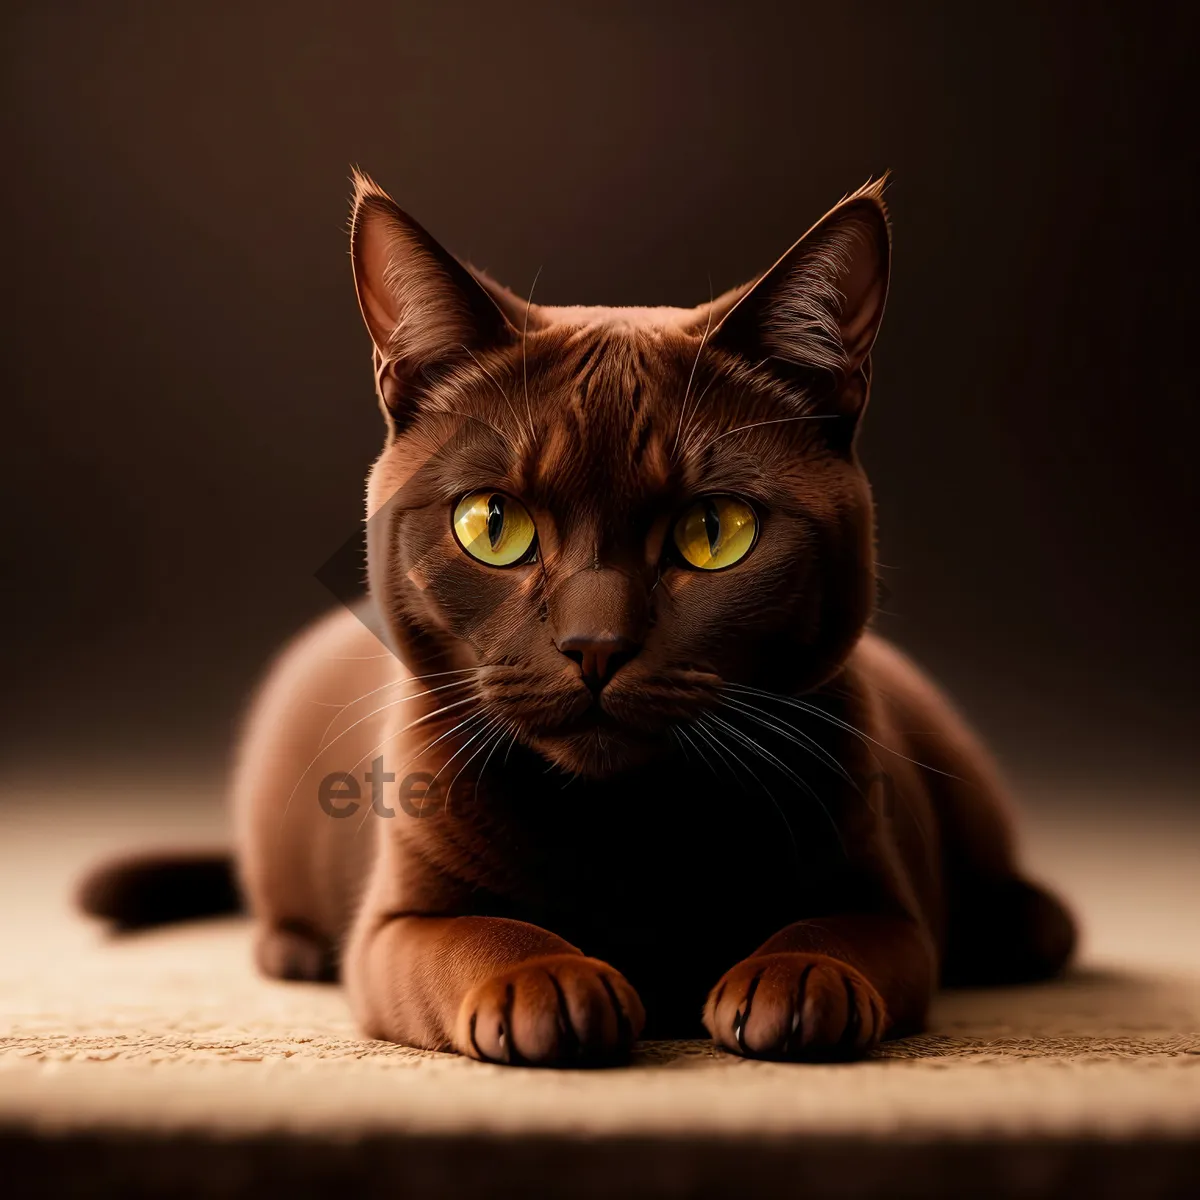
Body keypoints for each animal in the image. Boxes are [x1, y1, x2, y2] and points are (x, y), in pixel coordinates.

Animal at [84, 174, 1080, 1065]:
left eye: (714, 532)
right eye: (493, 525)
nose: (595, 645)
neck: (621, 825)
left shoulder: (888, 902)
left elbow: (842, 932)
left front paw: (796, 982)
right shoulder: (396, 927)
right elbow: (479, 936)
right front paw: (548, 985)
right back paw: (292, 948)